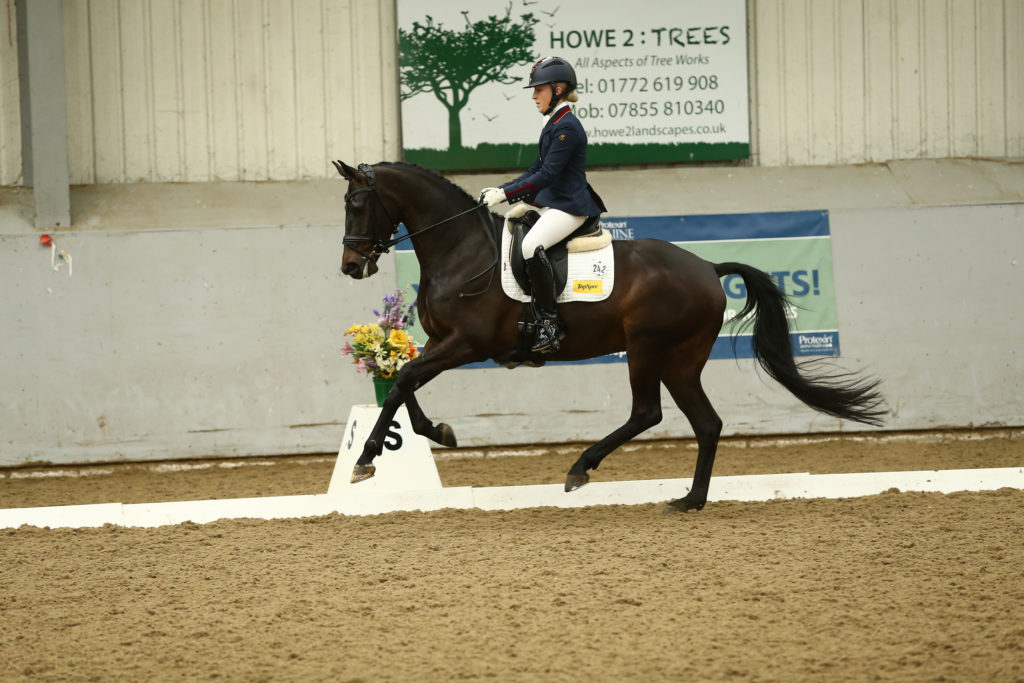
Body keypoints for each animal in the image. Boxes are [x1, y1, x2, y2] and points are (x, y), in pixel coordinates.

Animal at [333, 161, 880, 511]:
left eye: (357, 202)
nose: (351, 266)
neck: (461, 248)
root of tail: (707, 267)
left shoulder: (467, 344)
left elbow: (404, 379)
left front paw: (366, 458)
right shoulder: (441, 343)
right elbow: (404, 385)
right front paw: (435, 432)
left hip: (646, 349)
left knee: (647, 412)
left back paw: (582, 468)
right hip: (682, 359)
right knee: (706, 423)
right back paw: (690, 501)